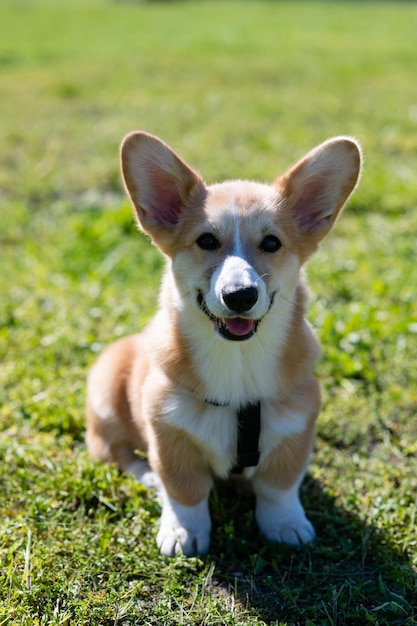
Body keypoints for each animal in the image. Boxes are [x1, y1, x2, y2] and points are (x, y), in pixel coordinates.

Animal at [87, 132, 360, 556]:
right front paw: (183, 532)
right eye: (206, 240)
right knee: (114, 450)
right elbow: (185, 491)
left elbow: (279, 487)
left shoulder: (296, 428)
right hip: (105, 394)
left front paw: (286, 525)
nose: (240, 296)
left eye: (271, 243)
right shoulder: (169, 433)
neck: (238, 360)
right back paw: (147, 476)